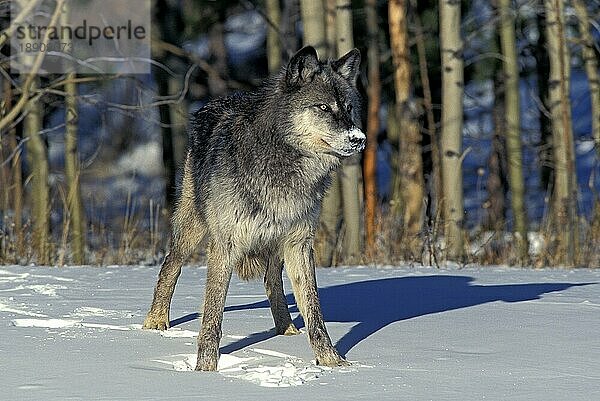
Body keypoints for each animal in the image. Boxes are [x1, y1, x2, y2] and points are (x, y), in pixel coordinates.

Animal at [143, 46, 366, 368]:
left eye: (348, 108)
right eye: (324, 108)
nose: (359, 139)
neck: (284, 164)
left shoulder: (300, 243)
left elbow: (314, 311)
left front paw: (331, 361)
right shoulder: (225, 244)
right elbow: (212, 315)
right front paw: (205, 369)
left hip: (275, 244)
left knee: (271, 280)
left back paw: (286, 329)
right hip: (192, 230)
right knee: (169, 267)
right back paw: (155, 323)